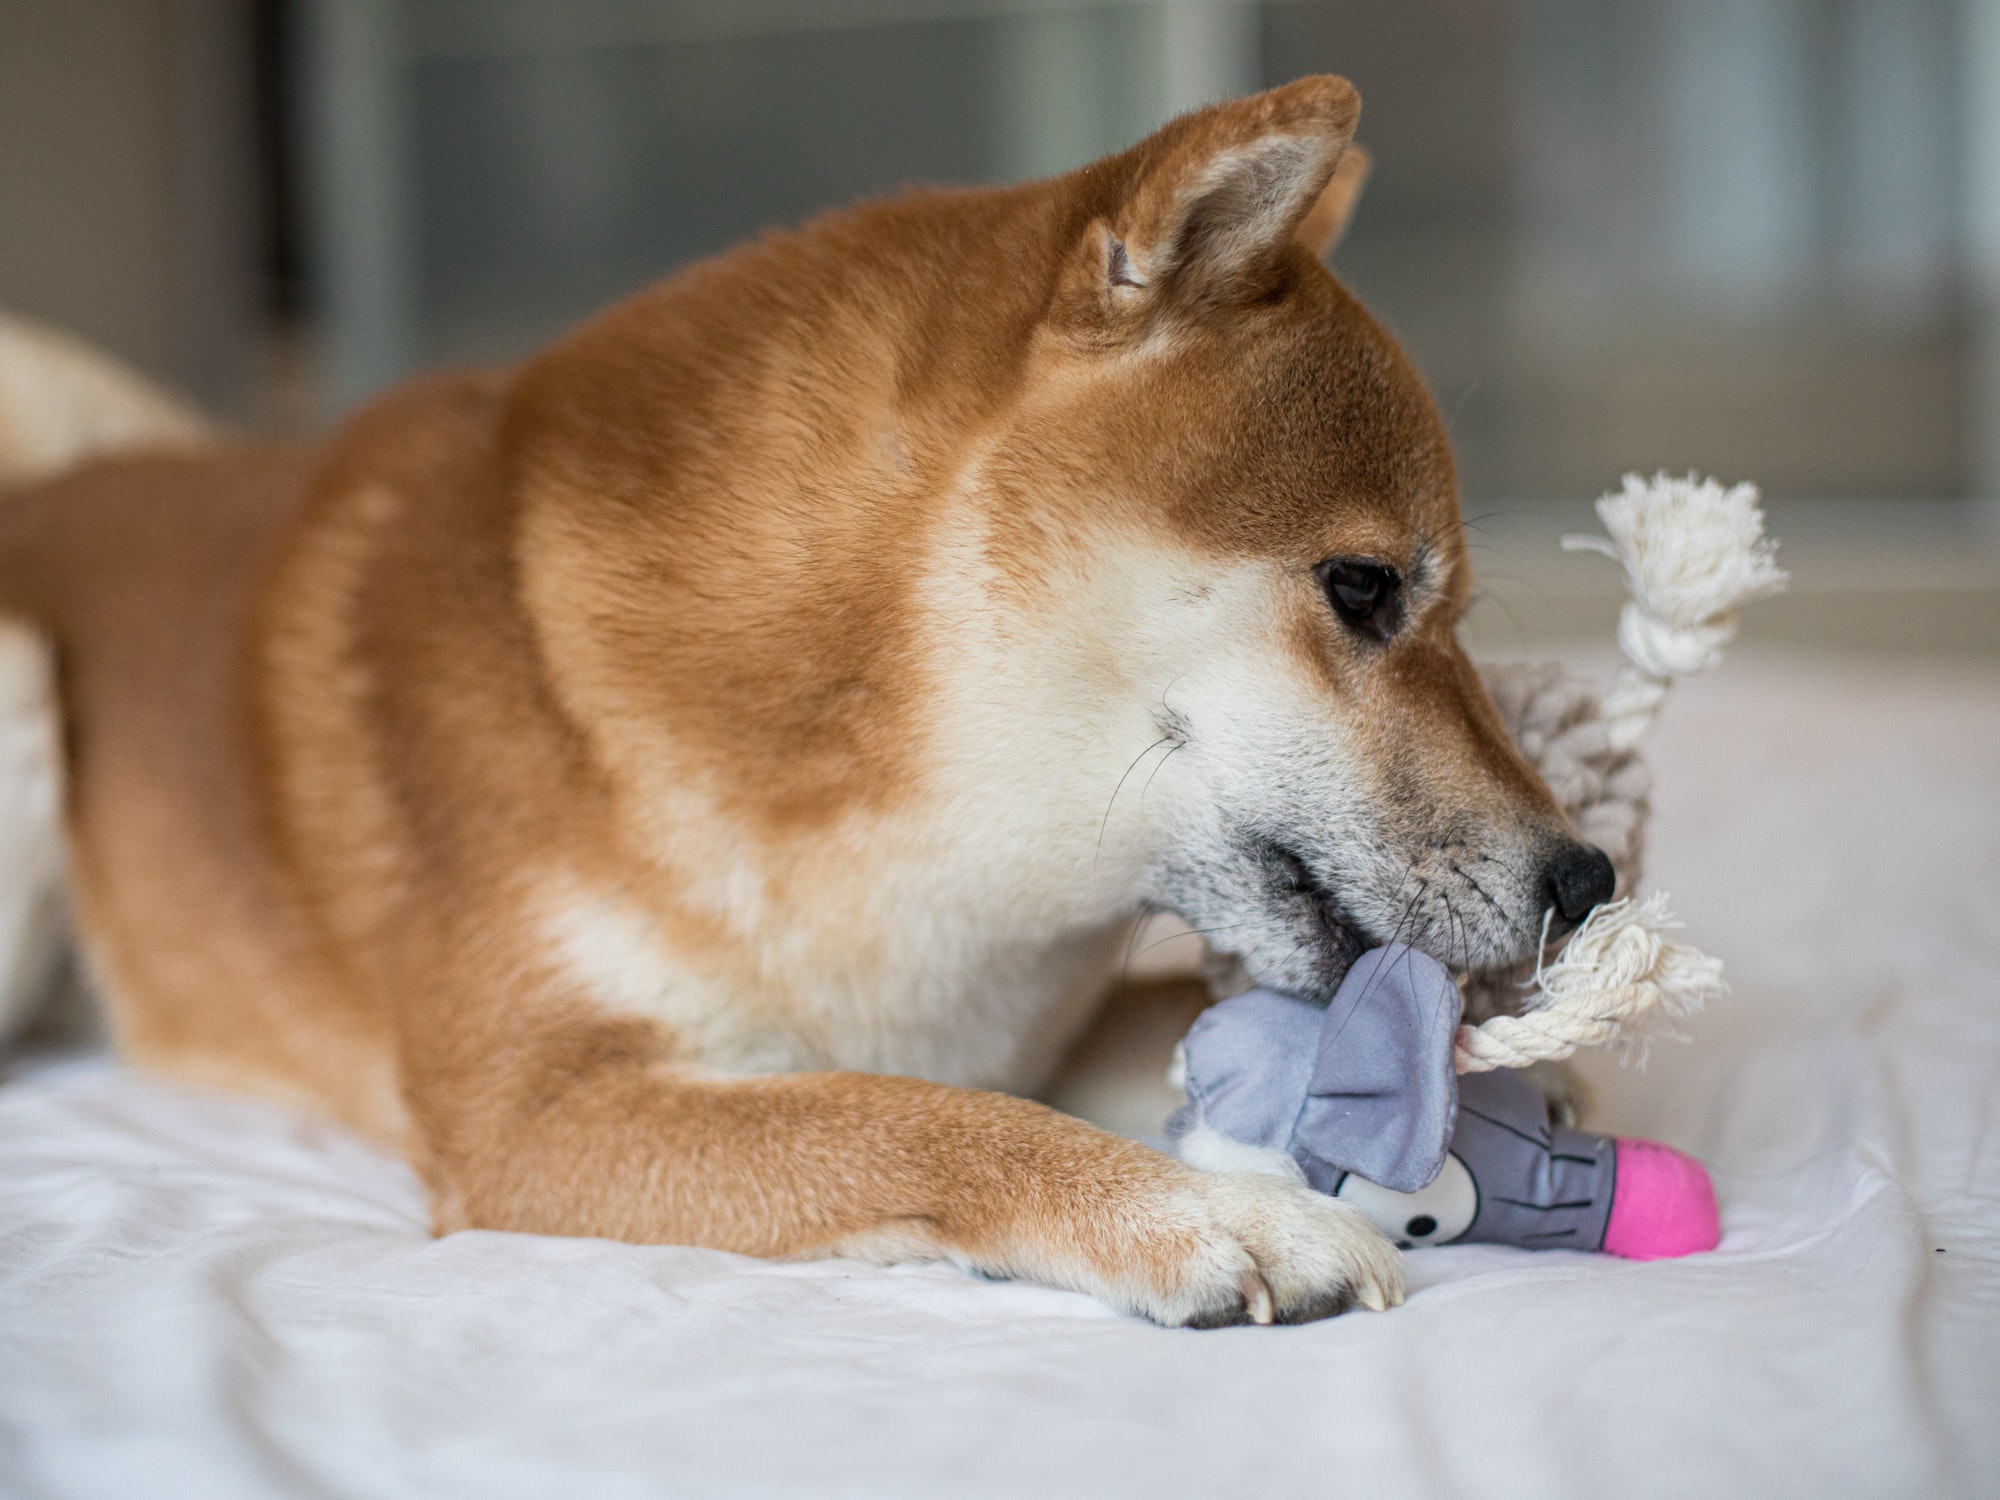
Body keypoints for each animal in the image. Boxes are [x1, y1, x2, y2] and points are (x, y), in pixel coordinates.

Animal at [0, 79, 1616, 1328]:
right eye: (1362, 588)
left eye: (1454, 611)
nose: (1589, 879)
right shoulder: (537, 1107)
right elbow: (920, 1121)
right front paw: (1205, 1216)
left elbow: (1136, 1037)